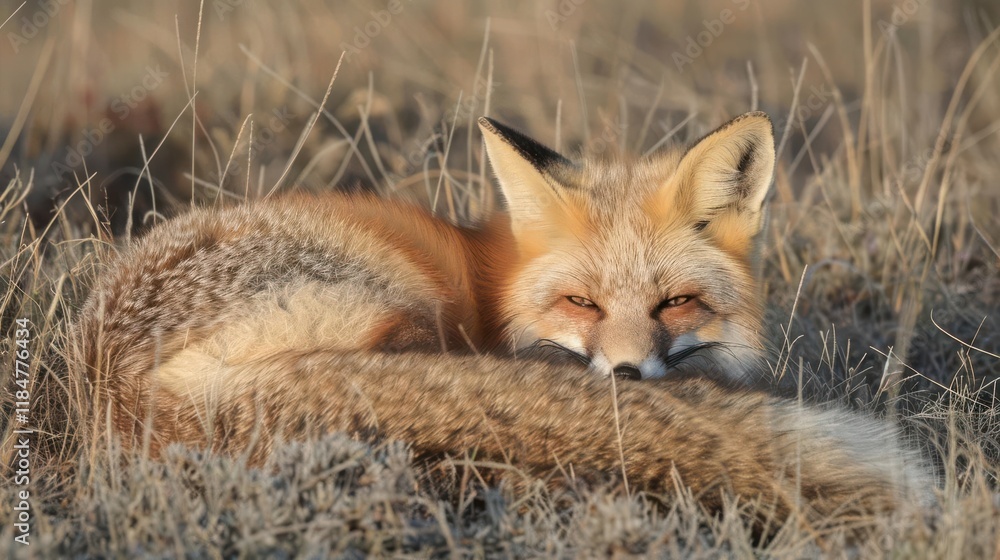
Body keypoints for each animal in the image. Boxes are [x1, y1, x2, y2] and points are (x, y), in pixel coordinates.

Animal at [74, 111, 933, 529]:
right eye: (581, 303)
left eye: (675, 303)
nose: (627, 375)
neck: (498, 282)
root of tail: (123, 376)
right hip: (401, 309)